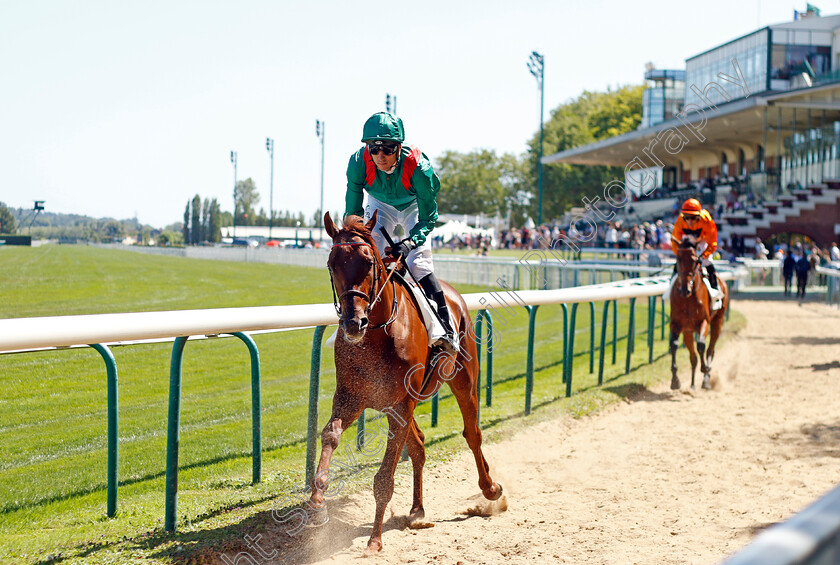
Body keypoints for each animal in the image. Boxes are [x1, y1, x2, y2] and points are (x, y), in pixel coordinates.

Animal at [310, 210, 502, 552]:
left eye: (368, 261)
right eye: (332, 263)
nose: (353, 322)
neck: (376, 335)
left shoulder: (402, 403)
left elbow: (384, 477)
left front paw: (374, 539)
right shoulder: (351, 397)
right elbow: (330, 434)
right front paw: (318, 504)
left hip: (463, 380)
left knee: (473, 433)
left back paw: (490, 489)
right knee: (419, 445)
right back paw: (417, 510)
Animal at [668, 232, 728, 388]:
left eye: (695, 261)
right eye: (678, 259)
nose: (685, 289)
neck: (687, 298)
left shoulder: (704, 321)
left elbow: (701, 345)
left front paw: (705, 369)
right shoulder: (676, 324)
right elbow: (674, 345)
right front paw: (675, 380)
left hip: (718, 321)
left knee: (710, 349)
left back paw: (706, 379)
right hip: (688, 331)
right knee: (693, 357)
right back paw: (693, 384)